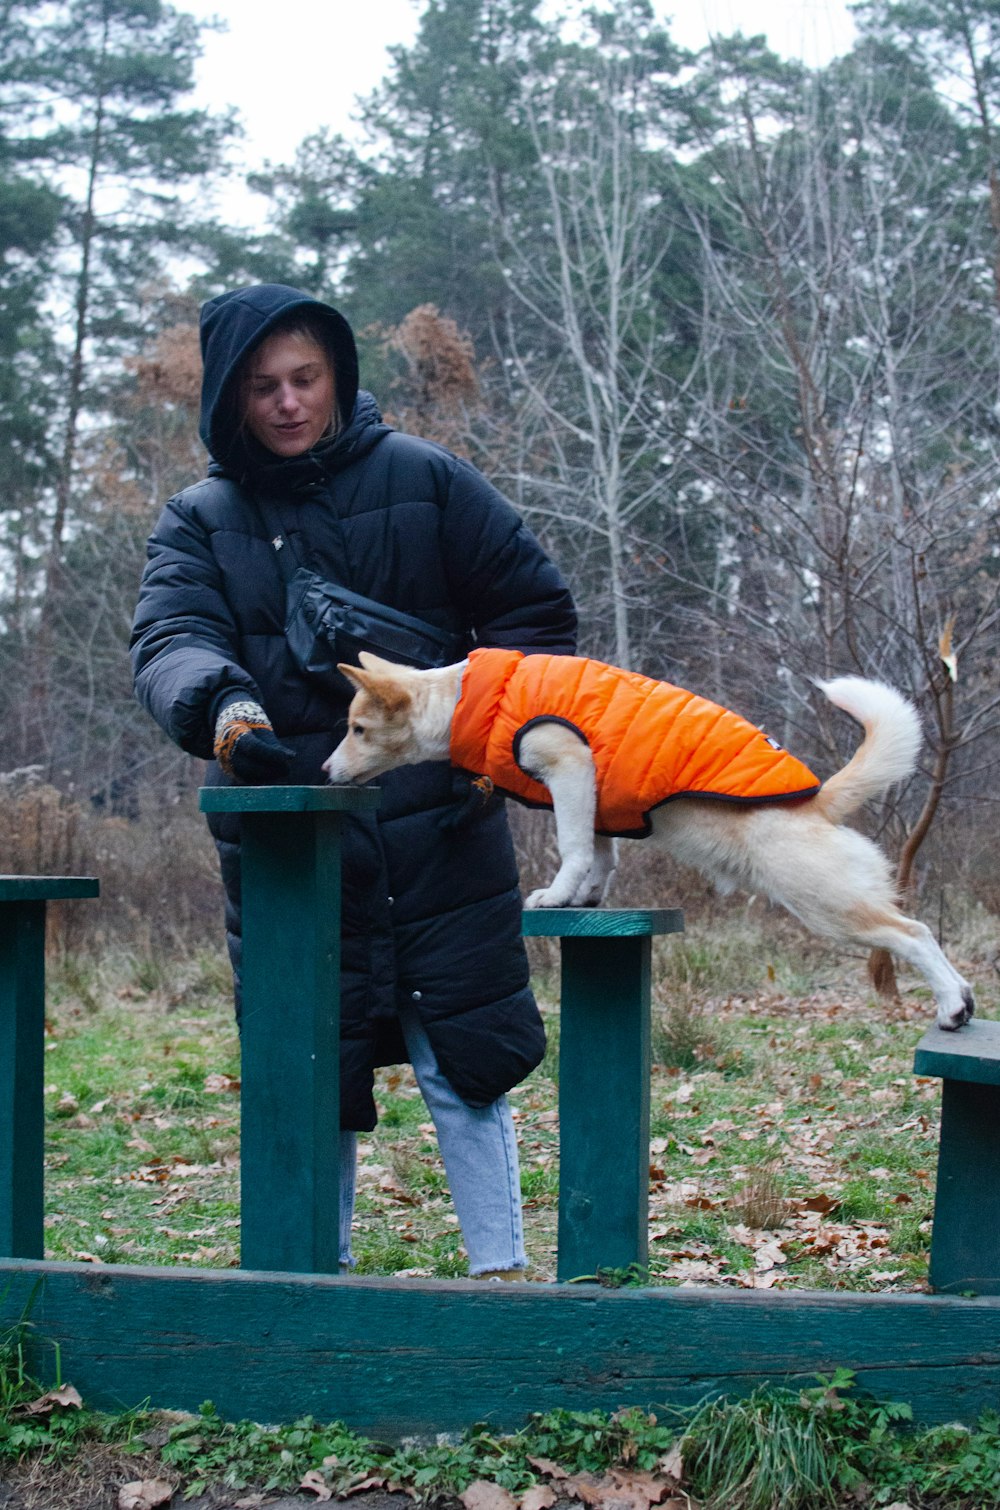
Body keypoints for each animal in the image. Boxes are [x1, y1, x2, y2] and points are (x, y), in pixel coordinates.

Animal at [327, 643, 978, 1032]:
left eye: (357, 729)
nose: (327, 773)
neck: (468, 697)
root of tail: (819, 800)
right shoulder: (596, 805)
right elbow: (598, 858)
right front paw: (583, 899)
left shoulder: (567, 767)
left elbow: (572, 849)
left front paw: (556, 896)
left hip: (828, 904)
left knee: (914, 934)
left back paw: (953, 1005)